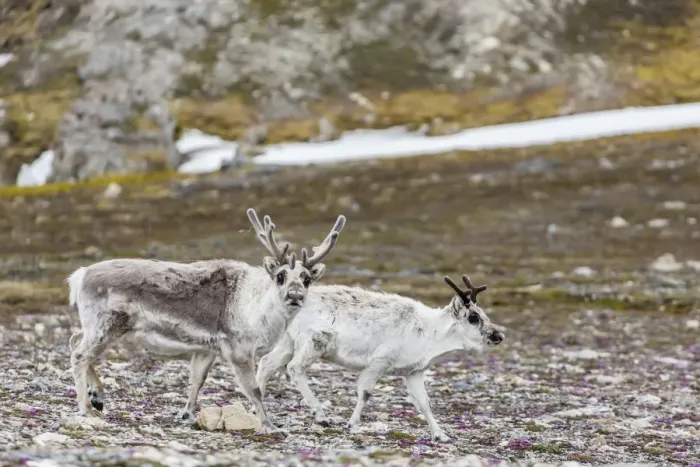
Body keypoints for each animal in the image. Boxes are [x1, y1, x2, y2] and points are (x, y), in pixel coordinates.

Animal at [66, 208, 346, 434]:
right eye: (280, 276)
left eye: (307, 279)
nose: (295, 296)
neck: (258, 308)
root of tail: (80, 275)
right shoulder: (238, 351)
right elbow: (253, 389)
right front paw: (271, 426)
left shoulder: (206, 349)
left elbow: (197, 380)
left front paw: (187, 414)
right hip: (107, 325)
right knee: (80, 355)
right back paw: (86, 407)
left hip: (100, 326)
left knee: (75, 343)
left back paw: (97, 396)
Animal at [255, 274, 506, 442]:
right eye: (473, 317)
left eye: (484, 314)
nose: (499, 335)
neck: (430, 333)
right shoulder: (379, 362)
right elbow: (365, 392)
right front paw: (353, 425)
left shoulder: (414, 371)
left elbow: (424, 402)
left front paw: (440, 435)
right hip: (315, 340)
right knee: (294, 369)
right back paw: (322, 416)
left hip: (288, 342)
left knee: (266, 363)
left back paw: (258, 410)